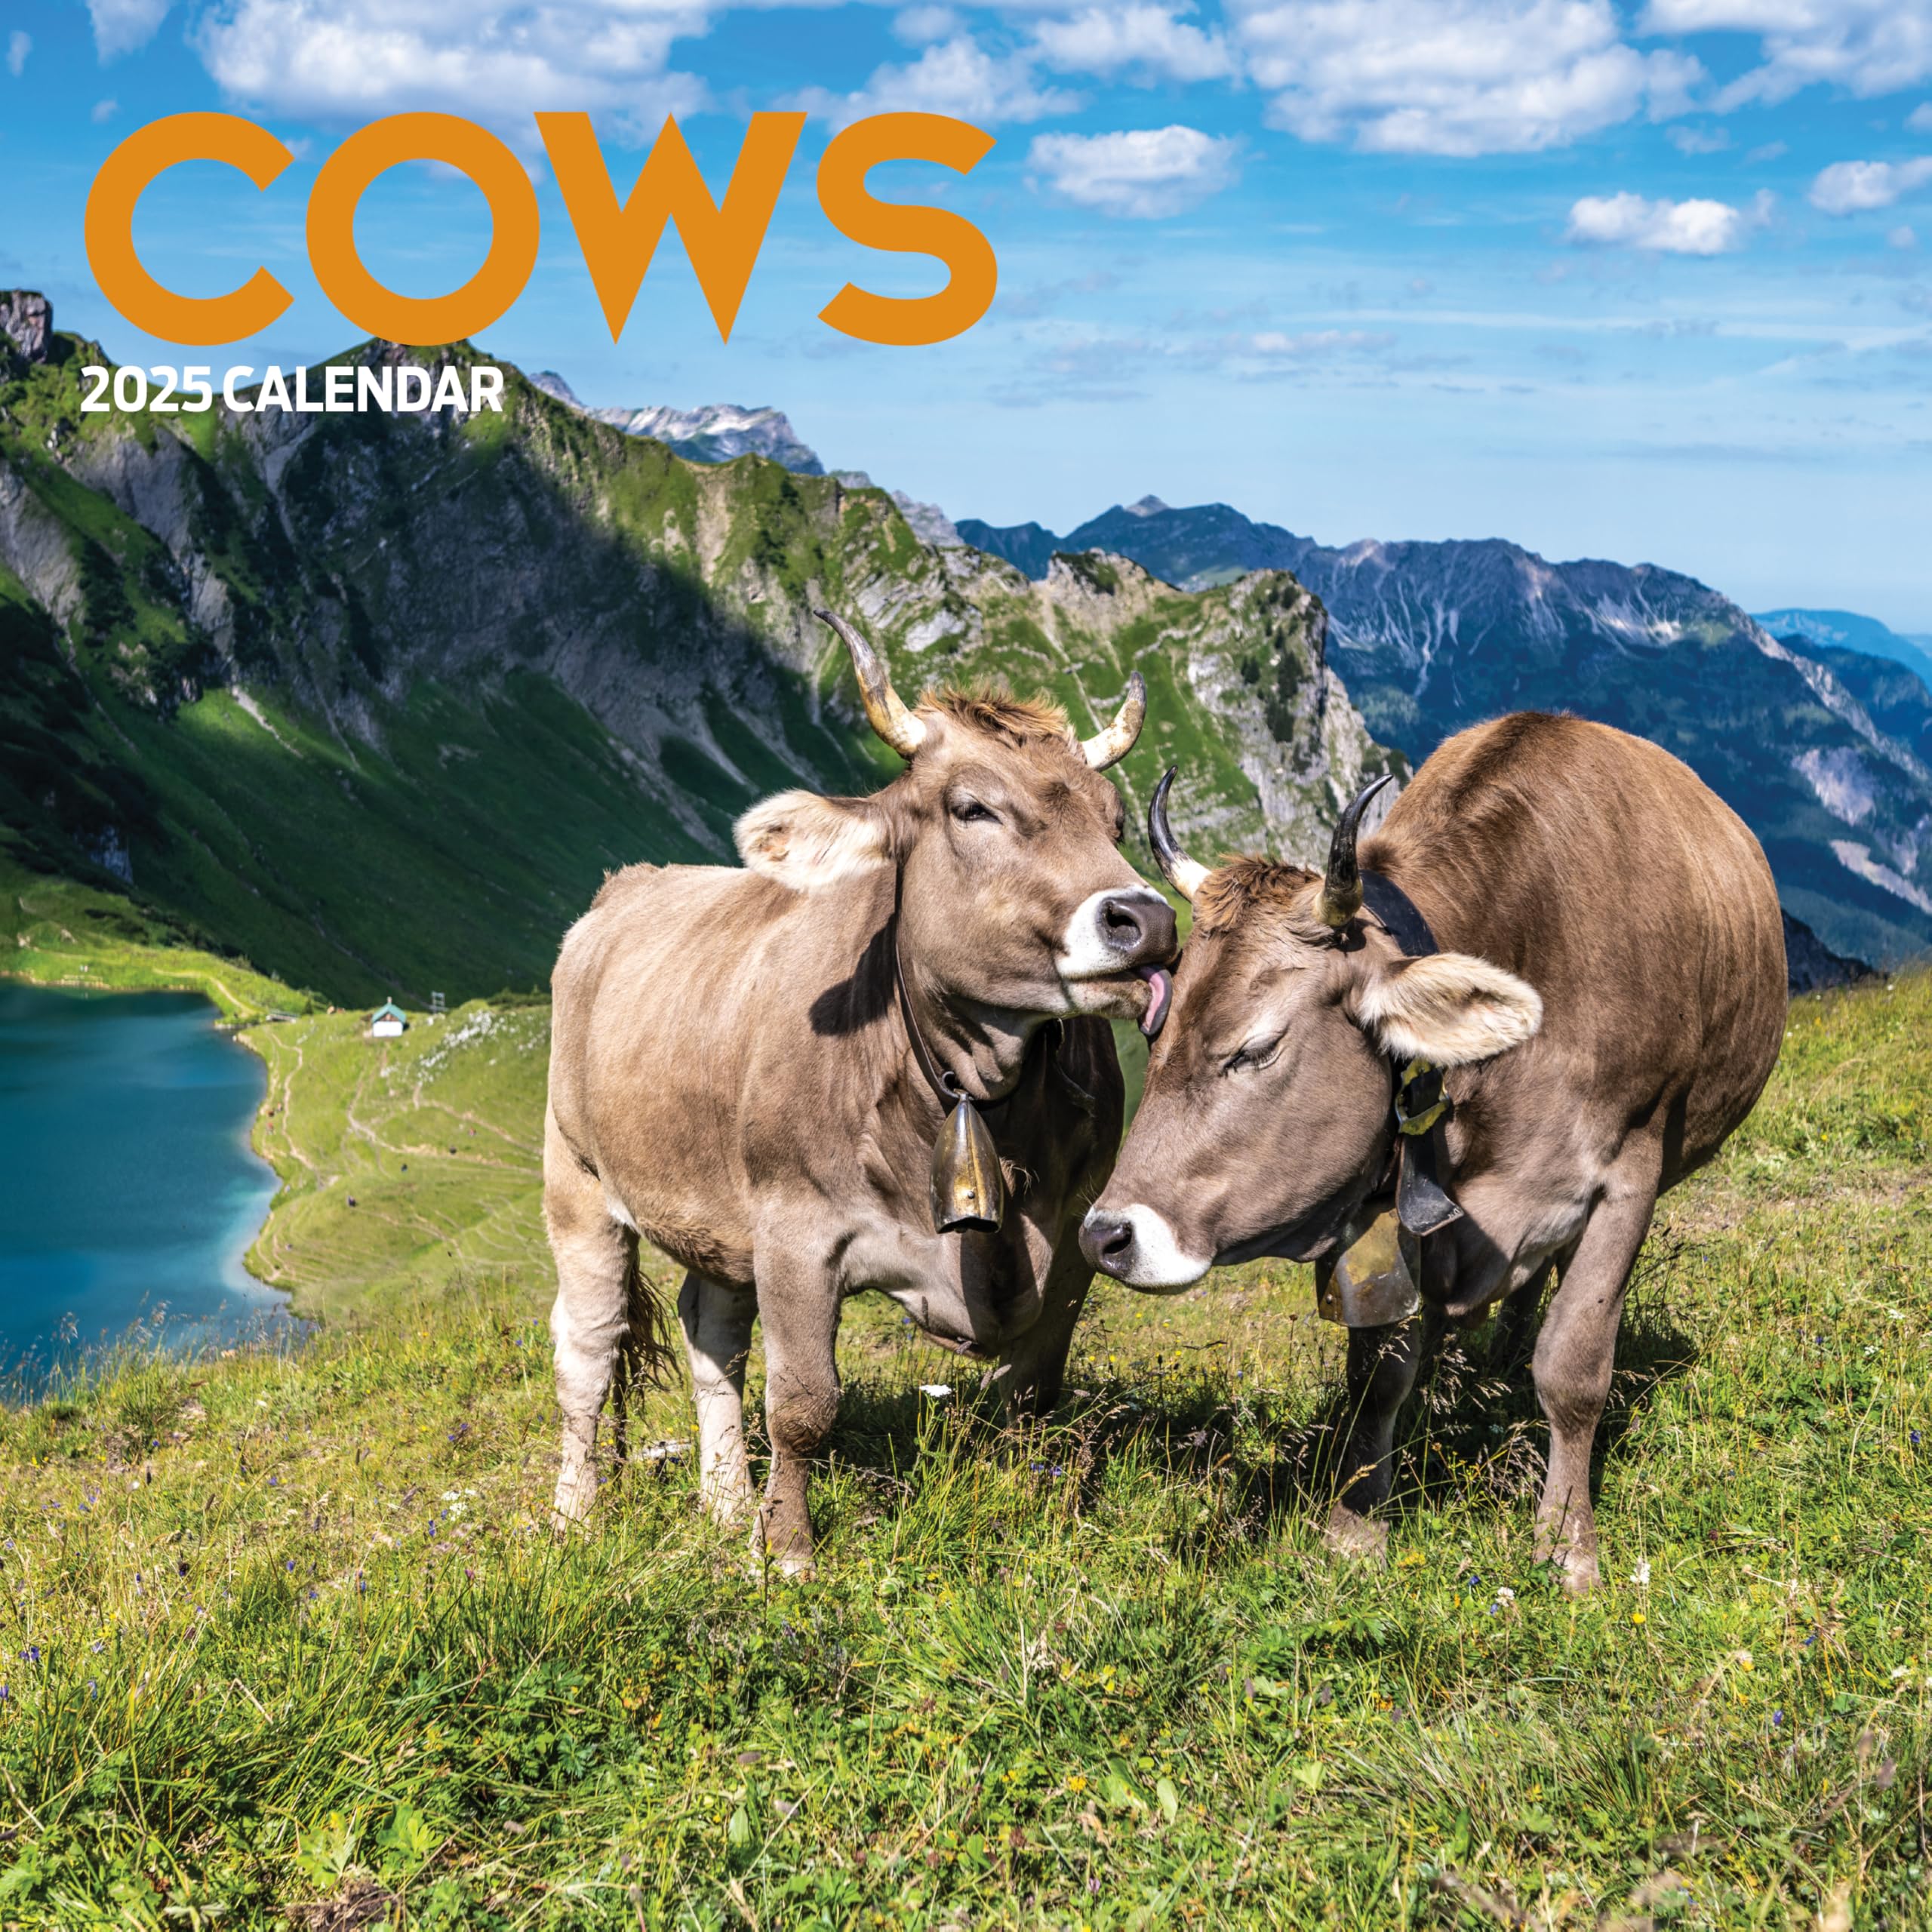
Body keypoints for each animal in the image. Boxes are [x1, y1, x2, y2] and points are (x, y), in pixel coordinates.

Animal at [543, 611, 1178, 1575]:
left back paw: (725, 1504)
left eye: (1113, 821)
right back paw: (576, 1514)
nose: (1147, 920)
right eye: (972, 807)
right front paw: (790, 1552)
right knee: (589, 1347)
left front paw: (1033, 1518)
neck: (971, 1091)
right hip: (576, 1183)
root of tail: (628, 885)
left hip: (715, 1210)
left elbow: (1034, 1393)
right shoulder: (796, 1233)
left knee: (710, 1333)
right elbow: (805, 1403)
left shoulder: (1073, 1233)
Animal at [1080, 712, 1787, 1592]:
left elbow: (1574, 1367)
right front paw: (1354, 1527)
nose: (1104, 1236)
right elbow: (1378, 1375)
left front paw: (1568, 1546)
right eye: (1155, 1031)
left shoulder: (1630, 1175)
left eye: (1257, 1048)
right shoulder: (1389, 1208)